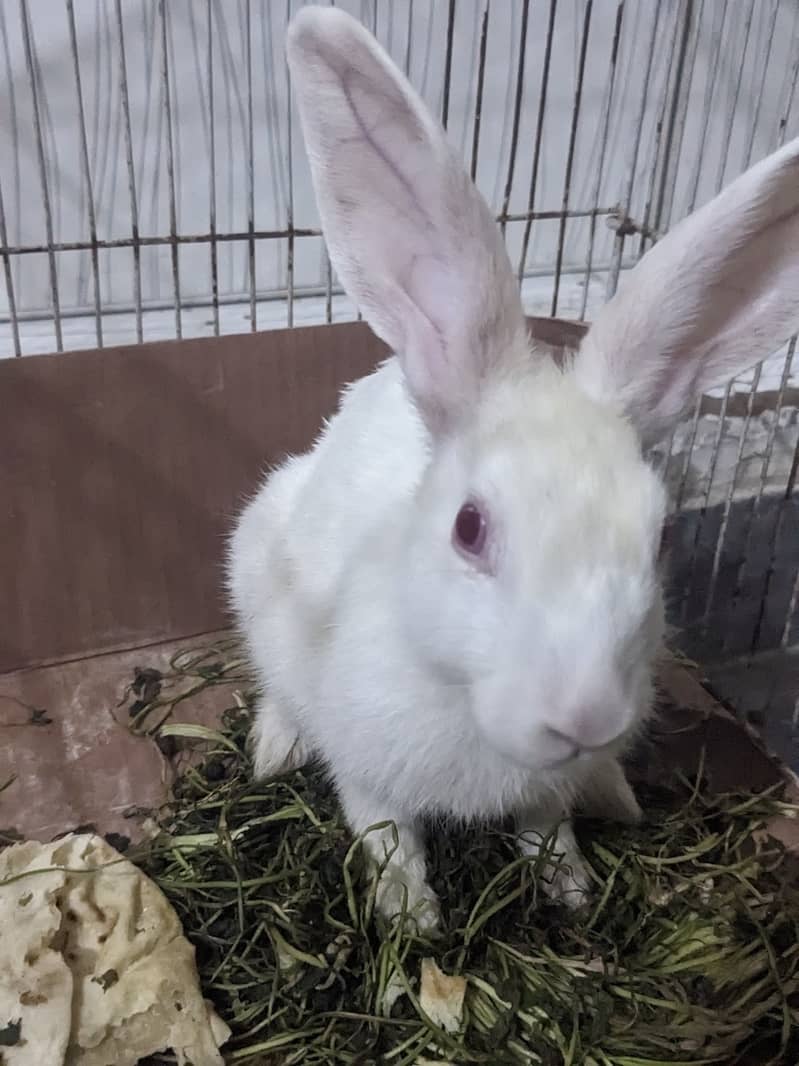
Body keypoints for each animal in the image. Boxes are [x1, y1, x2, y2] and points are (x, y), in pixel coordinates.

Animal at [227, 5, 799, 933]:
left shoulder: (542, 791)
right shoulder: (367, 769)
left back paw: (613, 793)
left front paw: (570, 892)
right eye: (469, 527)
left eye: (662, 536)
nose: (584, 717)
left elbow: (544, 825)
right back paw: (274, 750)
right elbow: (387, 832)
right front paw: (412, 922)